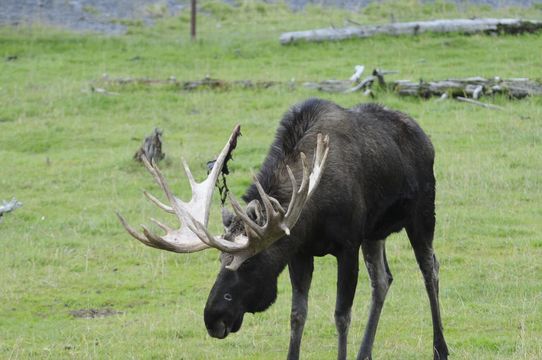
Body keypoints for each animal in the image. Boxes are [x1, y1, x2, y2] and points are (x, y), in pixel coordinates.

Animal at [118, 98, 450, 360]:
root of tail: (427, 139)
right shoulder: (300, 251)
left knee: (429, 268)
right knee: (382, 280)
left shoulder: (347, 245)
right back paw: (364, 352)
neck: (312, 210)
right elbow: (297, 314)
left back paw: (440, 348)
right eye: (220, 261)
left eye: (248, 264)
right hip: (375, 232)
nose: (213, 319)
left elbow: (341, 315)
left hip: (422, 212)